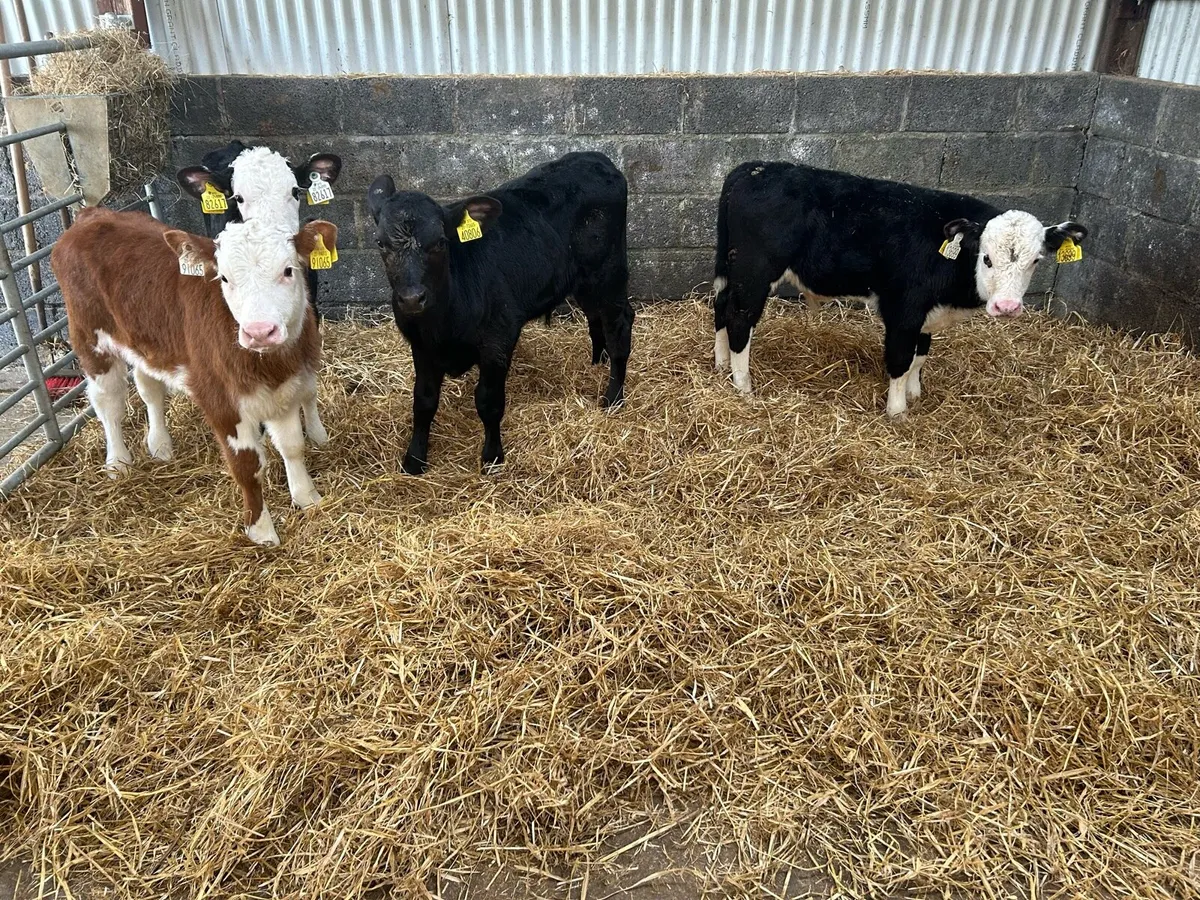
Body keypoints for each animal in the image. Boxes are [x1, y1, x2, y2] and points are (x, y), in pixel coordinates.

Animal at [51, 207, 337, 546]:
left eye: (288, 270)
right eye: (224, 278)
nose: (259, 332)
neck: (268, 364)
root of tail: (90, 215)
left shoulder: (286, 388)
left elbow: (293, 446)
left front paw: (307, 498)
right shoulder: (220, 401)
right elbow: (247, 466)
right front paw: (261, 530)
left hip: (146, 344)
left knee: (150, 389)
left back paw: (160, 445)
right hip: (90, 339)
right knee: (109, 404)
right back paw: (118, 462)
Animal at [367, 151, 633, 475]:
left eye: (441, 242)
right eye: (380, 243)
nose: (411, 299)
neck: (443, 323)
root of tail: (596, 158)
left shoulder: (498, 338)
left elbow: (488, 401)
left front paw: (492, 457)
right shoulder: (421, 346)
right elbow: (423, 401)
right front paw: (414, 459)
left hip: (608, 272)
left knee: (620, 324)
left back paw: (613, 396)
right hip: (583, 280)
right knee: (596, 318)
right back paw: (597, 361)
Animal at [712, 161, 1088, 417]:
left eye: (1036, 260)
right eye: (986, 258)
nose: (1007, 307)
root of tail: (752, 169)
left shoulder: (927, 315)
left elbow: (920, 357)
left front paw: (914, 394)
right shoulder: (904, 310)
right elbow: (900, 359)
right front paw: (897, 411)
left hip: (732, 269)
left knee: (720, 306)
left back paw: (721, 364)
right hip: (755, 271)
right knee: (740, 317)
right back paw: (743, 384)